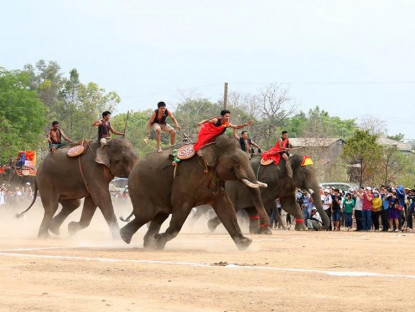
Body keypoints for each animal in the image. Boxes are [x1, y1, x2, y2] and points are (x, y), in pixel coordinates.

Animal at [120, 135, 270, 250]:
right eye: (235, 160)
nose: (266, 230)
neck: (210, 146)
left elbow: (226, 208)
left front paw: (245, 243)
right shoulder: (186, 178)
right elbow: (182, 207)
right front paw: (158, 239)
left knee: (160, 215)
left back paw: (148, 244)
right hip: (140, 188)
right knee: (145, 215)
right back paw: (126, 237)